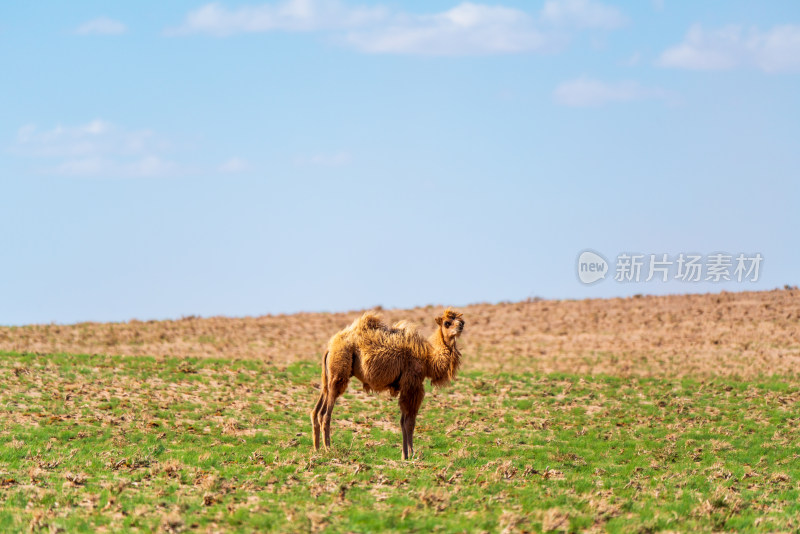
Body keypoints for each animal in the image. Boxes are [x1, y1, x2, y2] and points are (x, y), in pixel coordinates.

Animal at [310, 310, 466, 460]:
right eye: (447, 323)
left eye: (461, 320)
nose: (461, 326)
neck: (427, 359)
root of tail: (329, 348)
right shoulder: (412, 385)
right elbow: (409, 422)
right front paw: (411, 454)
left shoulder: (406, 387)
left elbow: (403, 421)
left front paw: (404, 454)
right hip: (339, 372)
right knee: (325, 414)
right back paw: (328, 449)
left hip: (328, 378)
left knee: (316, 410)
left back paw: (317, 449)